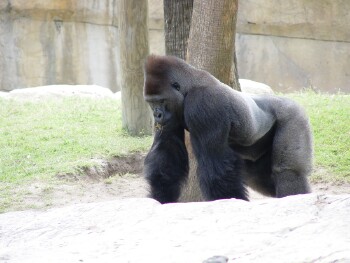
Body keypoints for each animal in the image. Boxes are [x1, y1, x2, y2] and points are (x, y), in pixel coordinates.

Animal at [142, 55, 312, 204]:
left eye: (161, 101)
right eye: (151, 102)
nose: (157, 115)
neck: (189, 87)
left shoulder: (204, 102)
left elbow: (216, 167)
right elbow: (167, 159)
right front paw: (161, 198)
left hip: (293, 115)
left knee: (287, 173)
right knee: (261, 179)